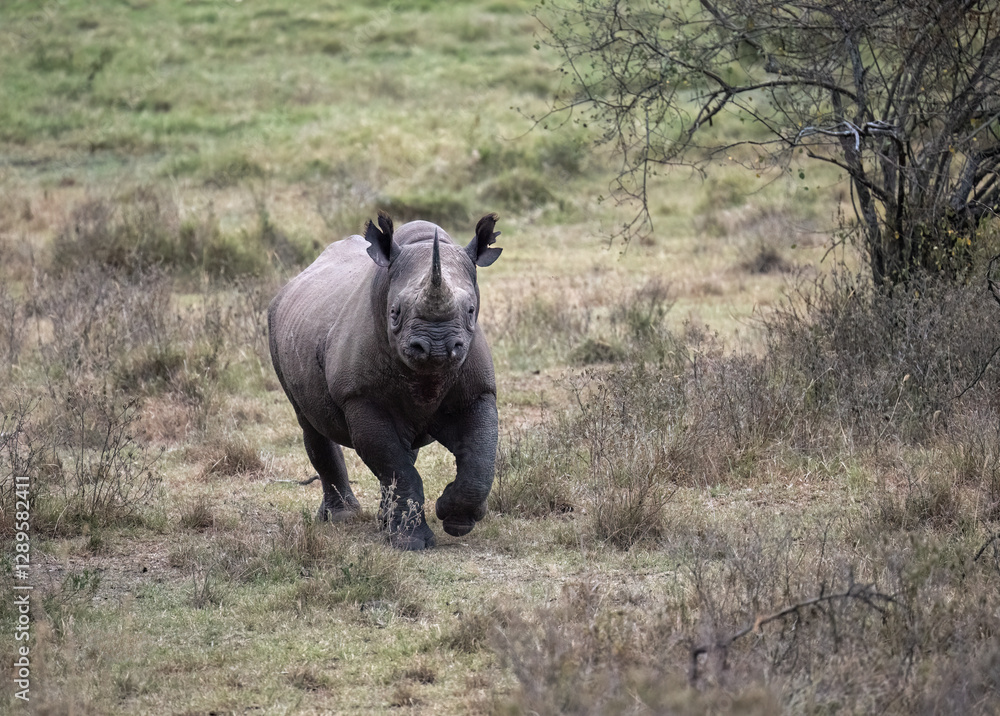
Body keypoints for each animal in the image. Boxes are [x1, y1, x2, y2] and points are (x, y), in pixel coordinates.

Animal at [267, 211, 502, 550]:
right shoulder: (360, 396)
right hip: (275, 325)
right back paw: (343, 518)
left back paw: (382, 522)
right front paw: (411, 542)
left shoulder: (479, 392)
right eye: (395, 312)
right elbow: (395, 466)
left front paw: (456, 519)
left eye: (471, 311)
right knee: (309, 423)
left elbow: (481, 456)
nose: (437, 348)